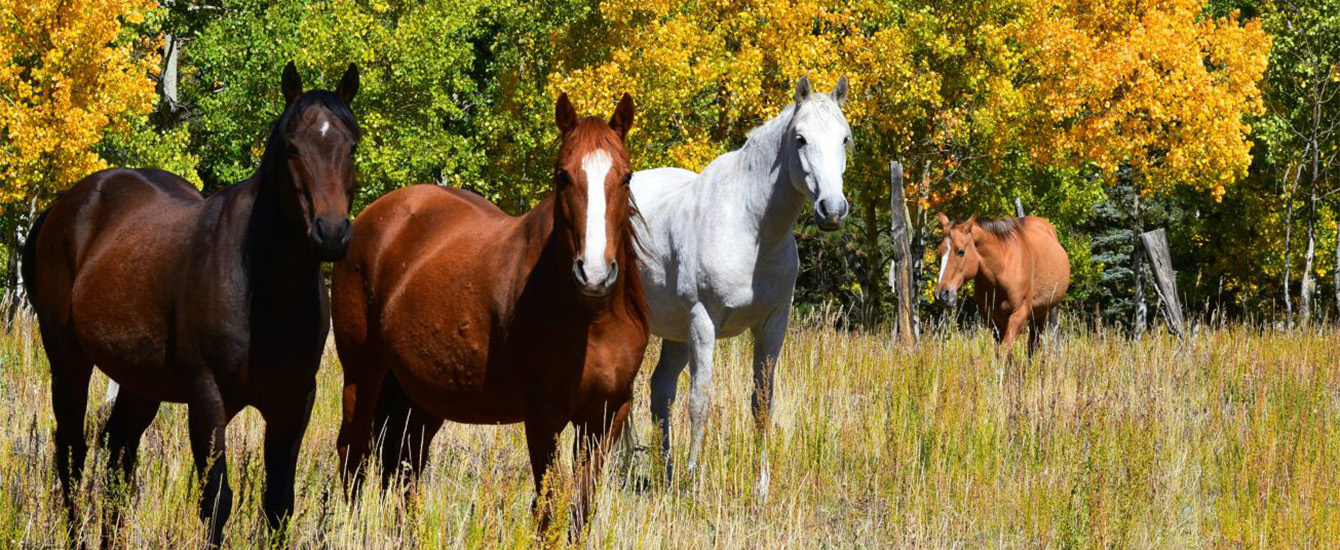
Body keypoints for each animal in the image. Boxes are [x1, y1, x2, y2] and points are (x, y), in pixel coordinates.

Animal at [23, 62, 360, 546]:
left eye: (352, 145)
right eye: (293, 146)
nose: (330, 233)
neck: (263, 289)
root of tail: (62, 207)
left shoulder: (295, 400)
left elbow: (279, 504)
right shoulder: (206, 398)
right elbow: (217, 500)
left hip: (140, 381)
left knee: (118, 454)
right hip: (68, 360)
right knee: (72, 453)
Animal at [332, 93, 646, 537]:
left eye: (627, 177)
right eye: (562, 176)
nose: (595, 273)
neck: (593, 319)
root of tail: (369, 220)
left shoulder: (606, 416)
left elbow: (580, 508)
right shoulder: (543, 416)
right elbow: (548, 506)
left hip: (420, 394)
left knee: (404, 461)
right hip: (362, 374)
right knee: (354, 456)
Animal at [629, 76, 851, 496]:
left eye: (845, 138)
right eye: (800, 138)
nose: (832, 209)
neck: (749, 226)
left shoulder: (771, 326)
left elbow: (761, 402)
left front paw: (760, 487)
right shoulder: (704, 323)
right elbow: (700, 401)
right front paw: (694, 485)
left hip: (675, 334)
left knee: (660, 392)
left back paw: (666, 473)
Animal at [932, 213, 1070, 358]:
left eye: (961, 251)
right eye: (939, 253)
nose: (941, 294)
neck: (1003, 267)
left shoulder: (1018, 315)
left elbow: (1003, 352)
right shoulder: (993, 319)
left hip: (1041, 313)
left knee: (1033, 346)